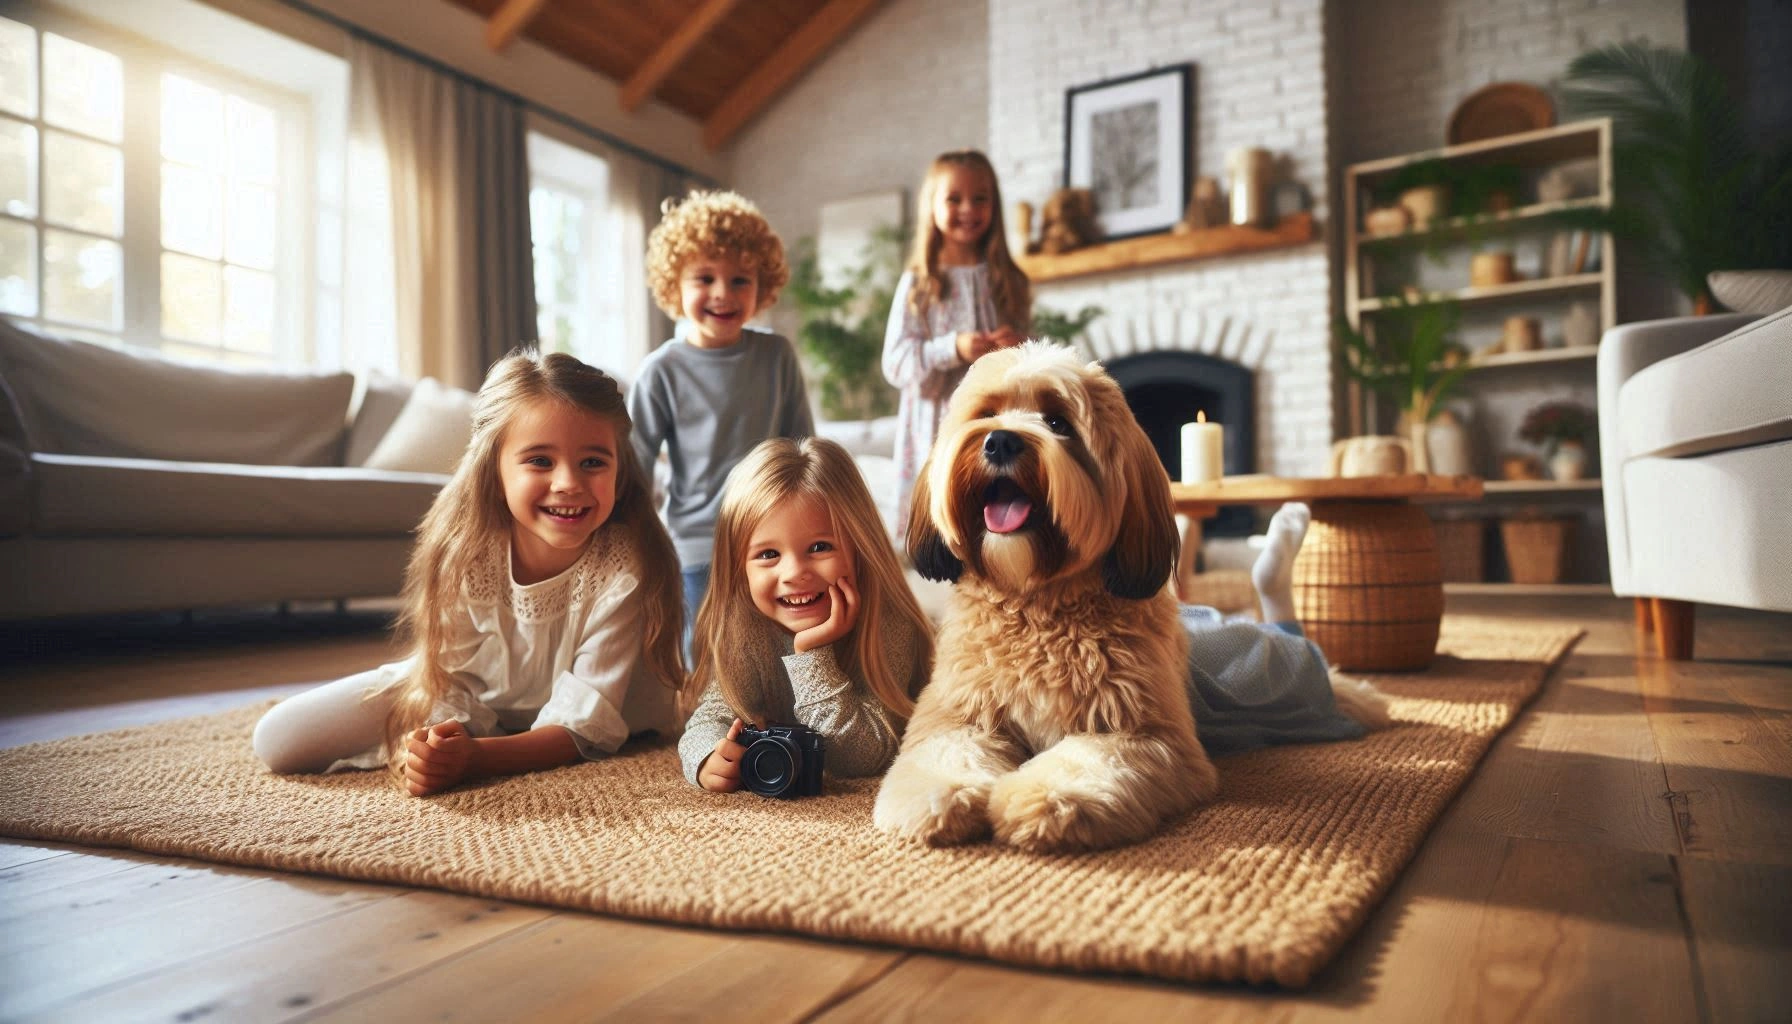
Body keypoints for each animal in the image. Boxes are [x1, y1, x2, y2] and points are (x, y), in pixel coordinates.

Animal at [878, 340, 1225, 853]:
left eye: (1058, 422)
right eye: (988, 413)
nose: (1000, 441)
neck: (1037, 605)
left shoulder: (1145, 734)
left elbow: (1084, 761)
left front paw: (1046, 800)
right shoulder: (956, 714)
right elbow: (945, 753)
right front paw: (942, 795)